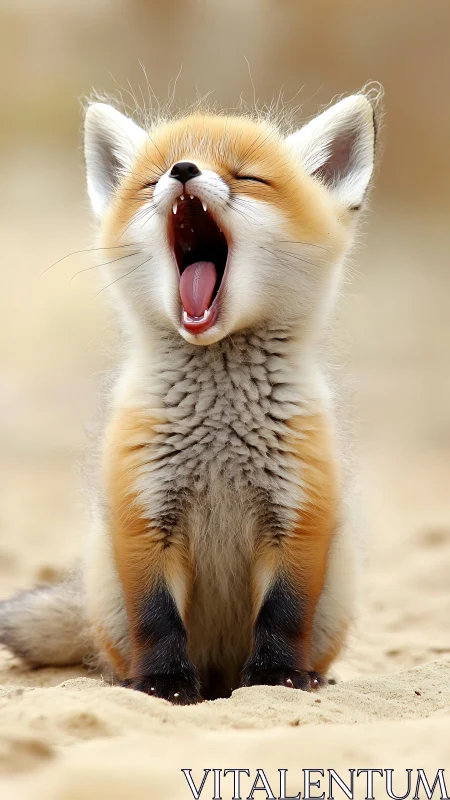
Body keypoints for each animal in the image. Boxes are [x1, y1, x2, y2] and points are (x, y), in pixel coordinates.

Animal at [0, 90, 379, 704]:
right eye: (151, 178)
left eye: (248, 177)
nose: (182, 171)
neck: (220, 432)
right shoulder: (142, 512)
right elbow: (156, 618)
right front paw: (165, 684)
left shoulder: (300, 513)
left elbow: (282, 616)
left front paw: (276, 678)